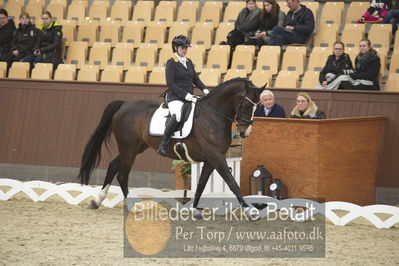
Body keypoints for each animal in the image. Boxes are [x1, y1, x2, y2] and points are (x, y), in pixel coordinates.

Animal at [78, 78, 266, 213]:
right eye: (247, 105)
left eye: (258, 106)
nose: (245, 132)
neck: (212, 116)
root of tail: (124, 104)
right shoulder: (216, 156)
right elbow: (231, 181)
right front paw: (250, 211)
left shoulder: (211, 159)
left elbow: (201, 185)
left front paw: (193, 209)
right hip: (129, 148)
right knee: (122, 174)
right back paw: (133, 207)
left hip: (136, 148)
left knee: (113, 165)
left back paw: (97, 201)